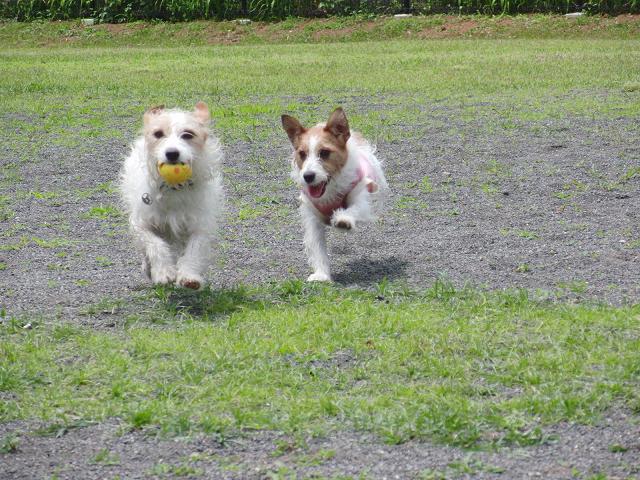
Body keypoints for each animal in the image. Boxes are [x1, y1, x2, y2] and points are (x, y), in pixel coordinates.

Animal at [120, 101, 222, 288]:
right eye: (158, 134)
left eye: (188, 135)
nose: (172, 153)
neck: (173, 188)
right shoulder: (141, 223)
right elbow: (155, 245)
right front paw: (163, 271)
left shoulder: (200, 225)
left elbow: (195, 249)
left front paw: (189, 275)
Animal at [282, 107, 390, 284]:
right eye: (302, 154)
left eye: (324, 153)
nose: (308, 176)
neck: (329, 190)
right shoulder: (311, 218)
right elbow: (317, 247)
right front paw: (322, 274)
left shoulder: (360, 197)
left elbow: (353, 209)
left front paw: (343, 219)